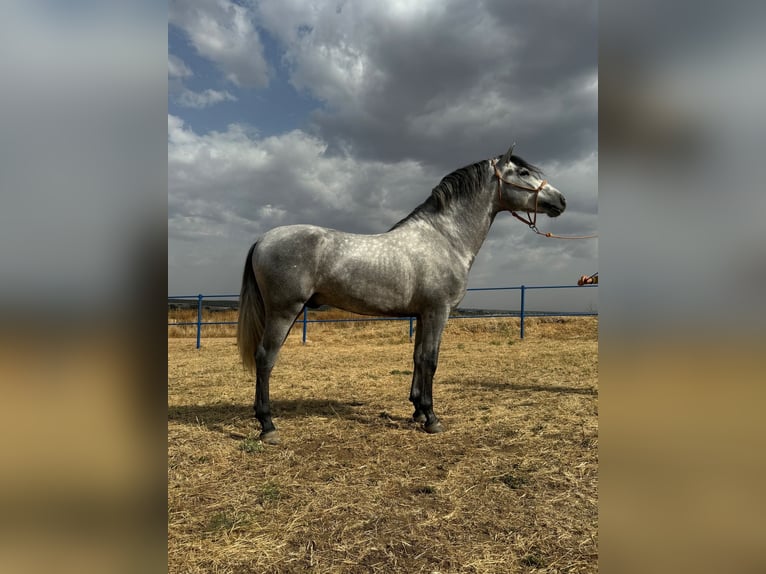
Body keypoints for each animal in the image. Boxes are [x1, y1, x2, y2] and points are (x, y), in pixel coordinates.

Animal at [237, 146, 568, 448]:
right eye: (523, 172)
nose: (562, 201)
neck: (445, 239)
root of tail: (262, 239)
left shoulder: (422, 314)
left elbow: (418, 357)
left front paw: (418, 411)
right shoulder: (438, 311)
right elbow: (431, 360)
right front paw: (432, 419)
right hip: (283, 311)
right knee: (265, 358)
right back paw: (268, 426)